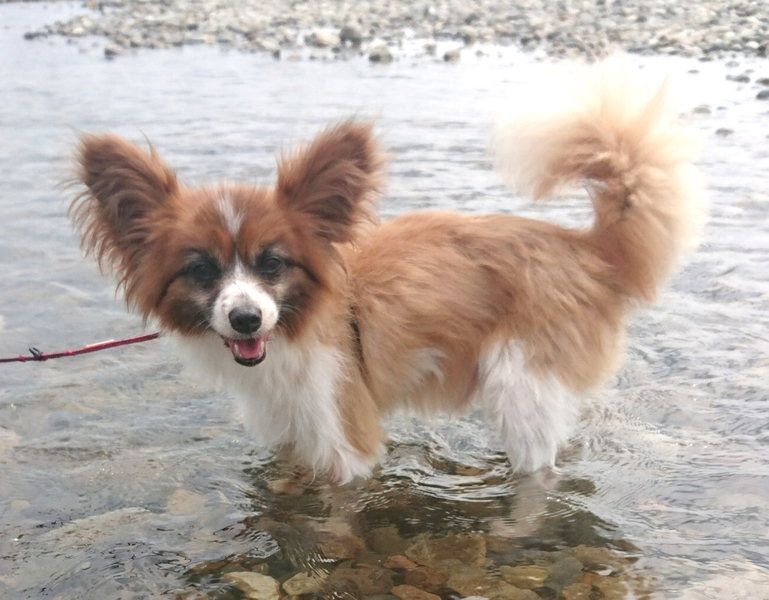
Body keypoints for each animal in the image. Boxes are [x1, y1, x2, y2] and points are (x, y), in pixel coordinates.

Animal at [70, 58, 707, 484]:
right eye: (201, 270)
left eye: (272, 263)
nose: (247, 319)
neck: (298, 328)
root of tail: (588, 248)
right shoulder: (286, 434)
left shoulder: (344, 438)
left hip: (522, 389)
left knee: (538, 476)